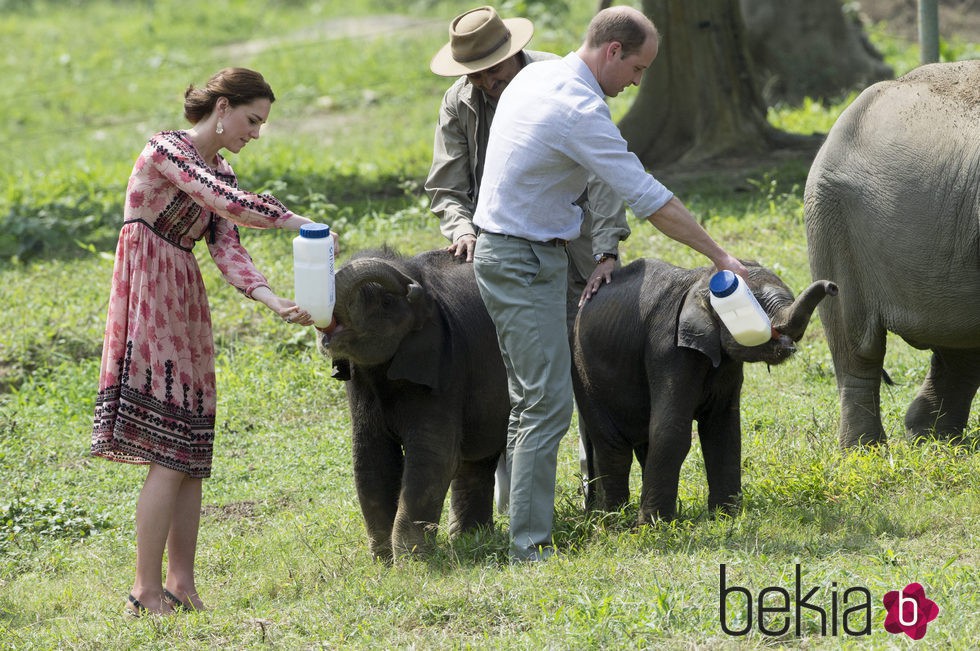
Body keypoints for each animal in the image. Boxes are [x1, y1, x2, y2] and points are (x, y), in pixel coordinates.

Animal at [318, 247, 510, 564]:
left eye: (385, 302)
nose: (410, 288)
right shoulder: (360, 384)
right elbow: (371, 458)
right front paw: (383, 563)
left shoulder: (443, 369)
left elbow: (433, 459)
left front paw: (411, 565)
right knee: (481, 454)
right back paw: (471, 539)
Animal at [572, 260, 840, 524]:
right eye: (757, 302)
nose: (833, 286)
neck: (701, 282)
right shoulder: (668, 350)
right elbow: (671, 430)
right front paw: (653, 528)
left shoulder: (727, 362)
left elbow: (722, 429)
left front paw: (725, 518)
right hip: (583, 372)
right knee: (613, 446)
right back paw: (613, 522)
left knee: (643, 443)